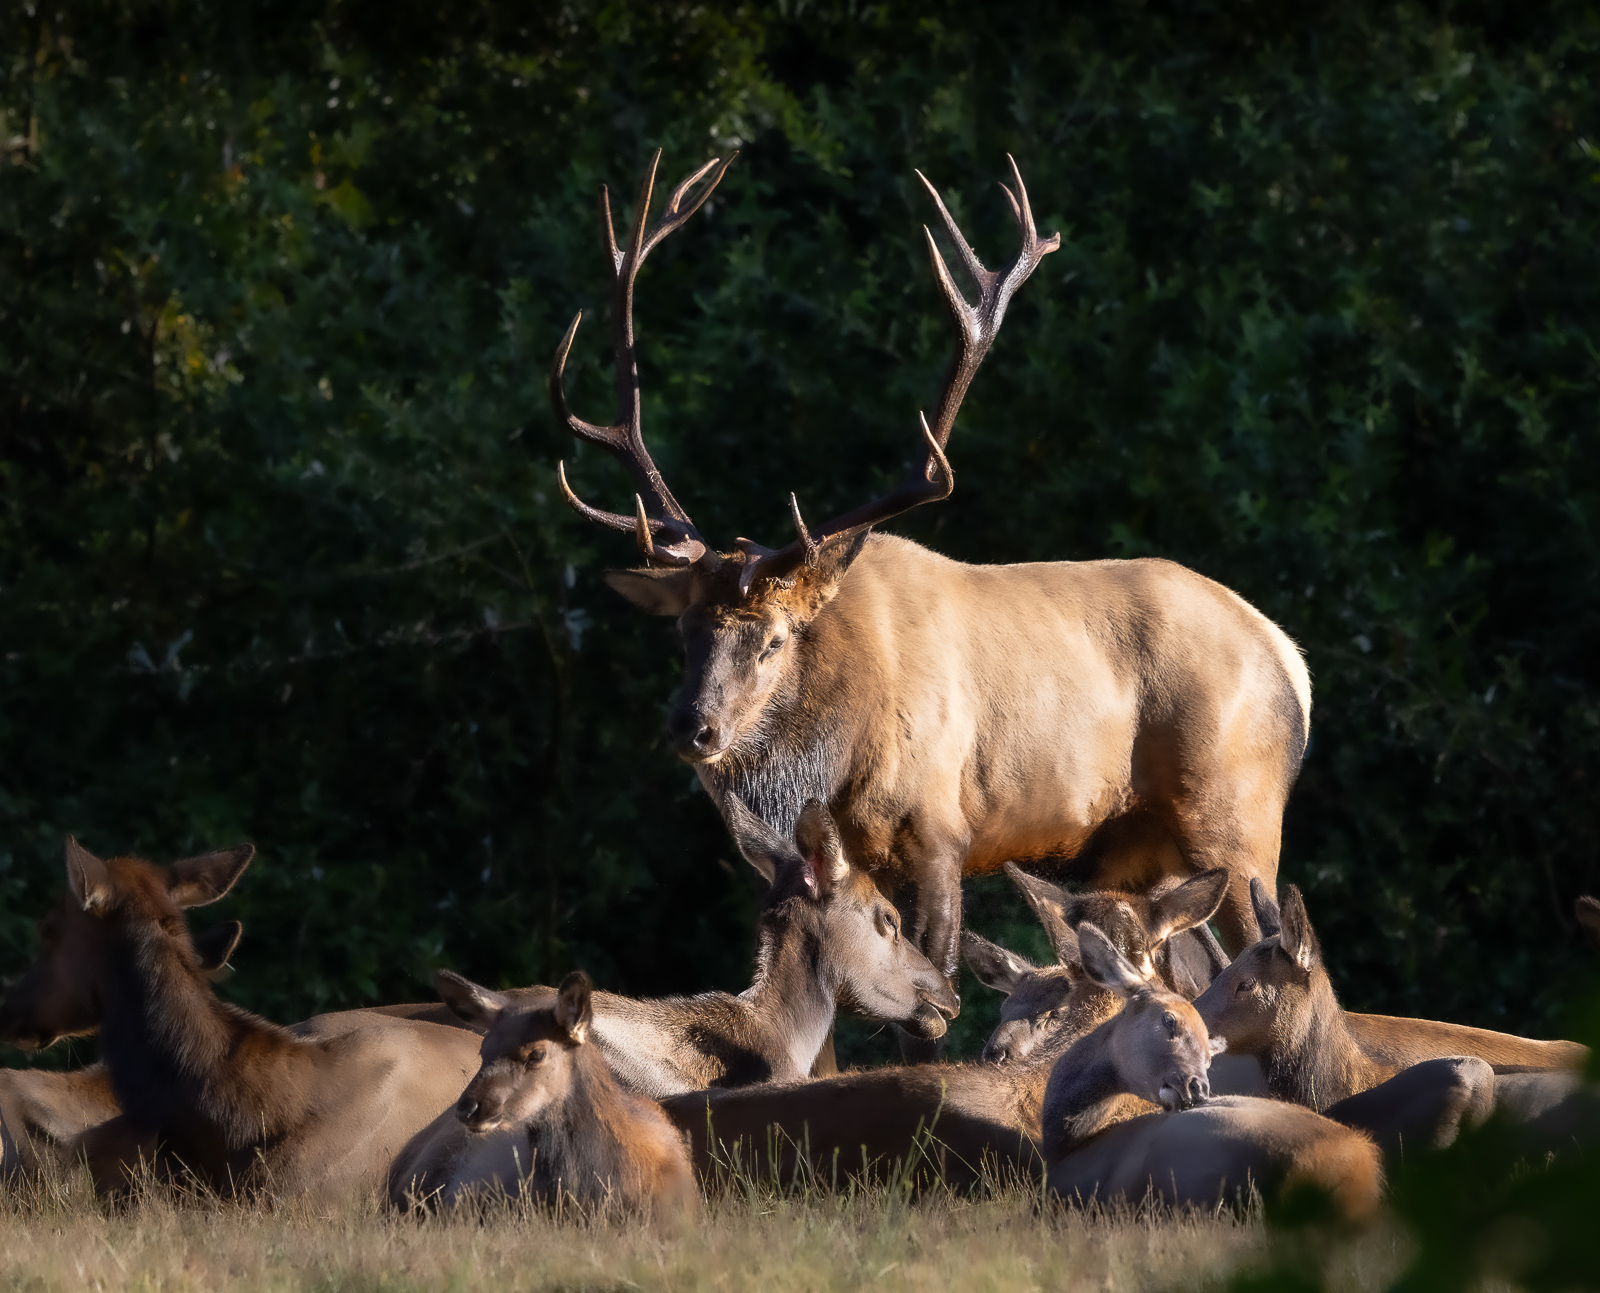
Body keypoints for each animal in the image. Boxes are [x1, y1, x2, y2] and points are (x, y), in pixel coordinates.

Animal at [550, 150, 1313, 1053]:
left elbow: (929, 1007)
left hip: (1237, 813)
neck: (836, 751)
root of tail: (1292, 661)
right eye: (684, 634)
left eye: (772, 638)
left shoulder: (943, 830)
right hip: (1139, 848)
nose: (691, 727)